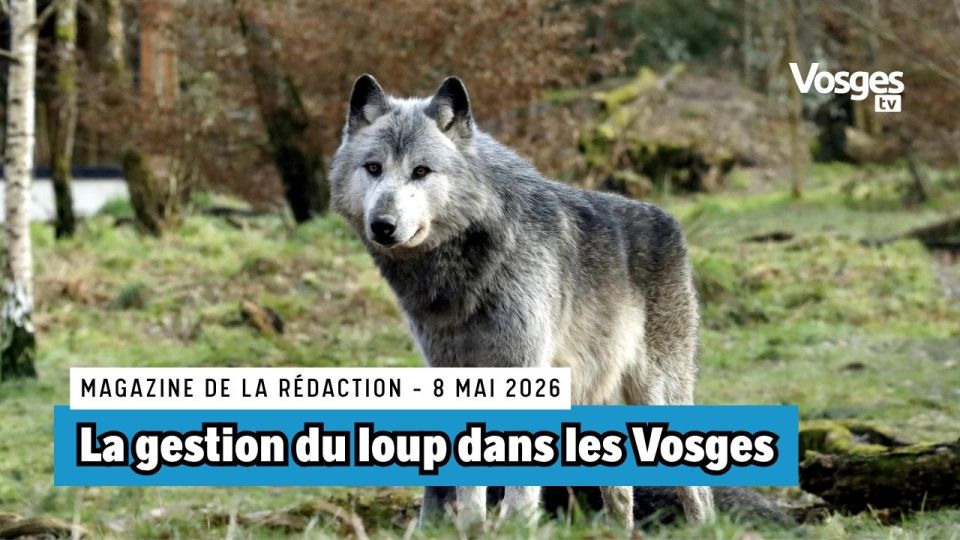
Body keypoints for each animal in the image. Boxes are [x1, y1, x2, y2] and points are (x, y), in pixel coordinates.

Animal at [328, 74, 715, 529]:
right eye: (374, 168)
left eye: (420, 171)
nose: (382, 225)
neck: (469, 270)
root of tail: (670, 219)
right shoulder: (453, 373)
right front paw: (472, 530)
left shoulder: (524, 368)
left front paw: (514, 526)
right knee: (621, 496)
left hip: (657, 392)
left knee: (699, 493)